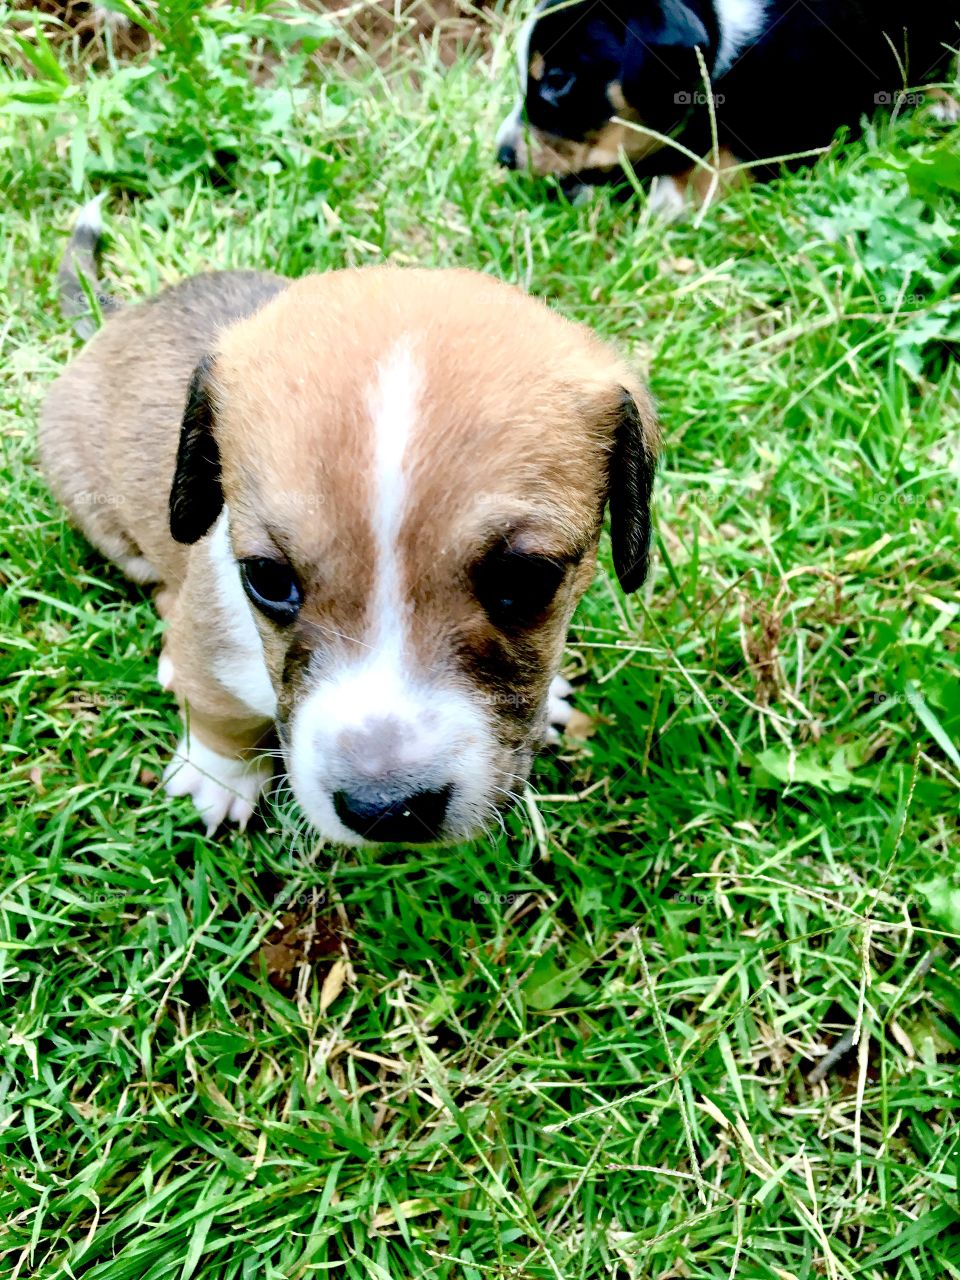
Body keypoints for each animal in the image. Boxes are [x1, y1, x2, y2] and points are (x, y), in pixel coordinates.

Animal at [39, 204, 660, 844]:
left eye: (527, 581)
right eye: (266, 578)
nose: (388, 811)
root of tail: (121, 315)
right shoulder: (211, 631)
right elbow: (219, 713)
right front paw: (219, 777)